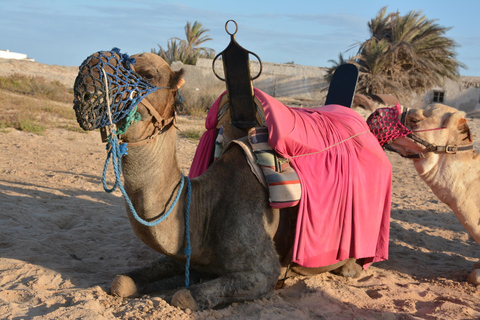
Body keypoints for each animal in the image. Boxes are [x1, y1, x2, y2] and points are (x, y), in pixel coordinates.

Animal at [73, 50, 390, 310]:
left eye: (148, 74)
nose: (87, 78)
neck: (204, 208)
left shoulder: (263, 271)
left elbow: (184, 297)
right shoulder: (186, 253)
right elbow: (121, 282)